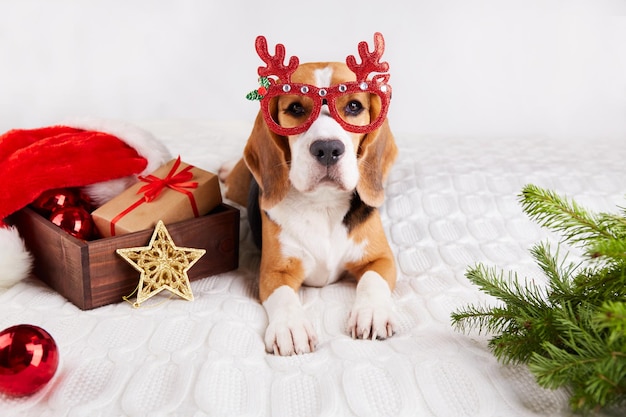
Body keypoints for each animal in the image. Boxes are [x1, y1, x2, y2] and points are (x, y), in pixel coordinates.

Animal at [221, 34, 394, 356]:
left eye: (354, 106)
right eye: (296, 109)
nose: (327, 148)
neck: (322, 203)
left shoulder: (382, 258)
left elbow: (372, 280)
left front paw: (372, 311)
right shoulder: (273, 272)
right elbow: (283, 297)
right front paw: (291, 327)